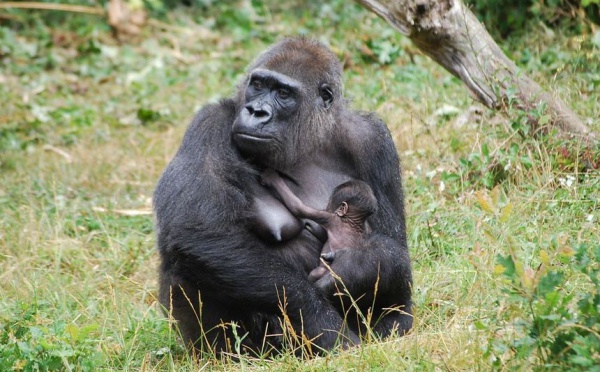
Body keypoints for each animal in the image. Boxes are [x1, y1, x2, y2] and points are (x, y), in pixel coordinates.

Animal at [154, 37, 412, 354]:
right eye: (257, 85)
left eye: (283, 93)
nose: (256, 111)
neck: (307, 139)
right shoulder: (208, 123)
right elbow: (196, 229)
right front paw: (323, 324)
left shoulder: (373, 139)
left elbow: (392, 247)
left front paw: (352, 269)